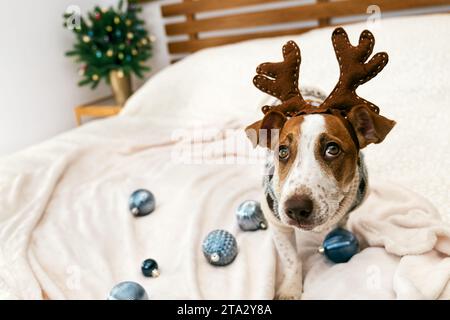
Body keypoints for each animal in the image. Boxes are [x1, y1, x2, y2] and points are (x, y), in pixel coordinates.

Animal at [244, 28, 396, 300]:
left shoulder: (345, 214)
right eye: (282, 151)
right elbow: (291, 259)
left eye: (332, 149)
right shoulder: (277, 223)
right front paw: (291, 288)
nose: (296, 208)